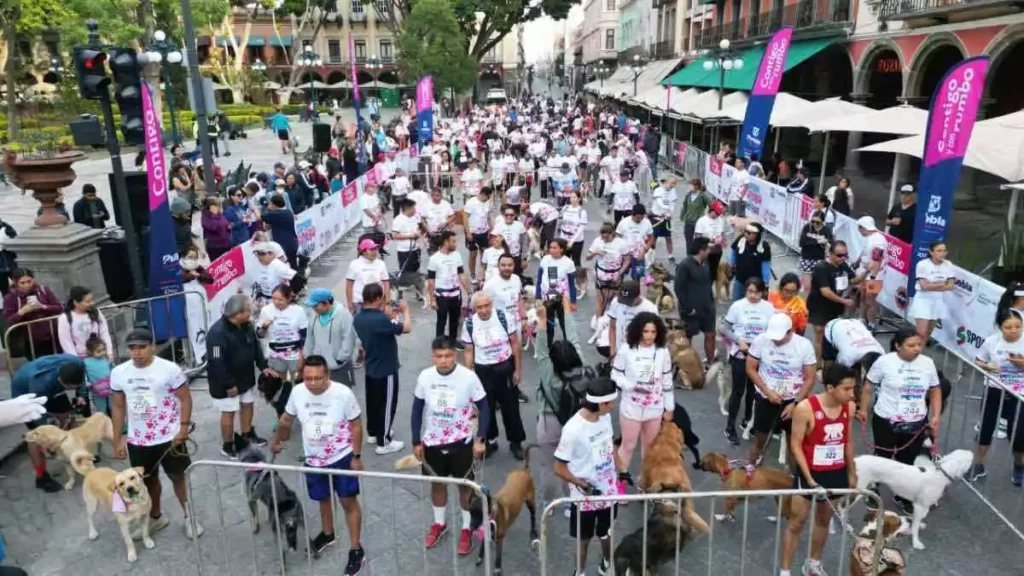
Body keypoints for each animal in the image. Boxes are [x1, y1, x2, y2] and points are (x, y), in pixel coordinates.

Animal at [468, 438, 536, 569]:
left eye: (479, 513)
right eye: (470, 512)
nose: (471, 527)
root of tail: (524, 470)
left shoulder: (500, 538)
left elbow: (498, 556)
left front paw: (497, 569)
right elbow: (483, 545)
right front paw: (480, 557)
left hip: (530, 502)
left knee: (533, 516)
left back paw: (533, 532)